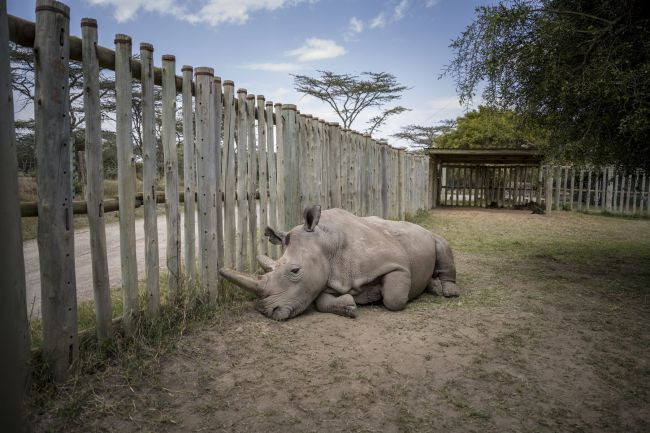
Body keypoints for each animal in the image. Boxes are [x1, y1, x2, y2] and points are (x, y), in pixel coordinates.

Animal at [220, 206, 458, 320]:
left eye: (295, 270)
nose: (266, 311)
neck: (327, 243)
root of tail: (418, 225)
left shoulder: (396, 263)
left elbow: (394, 299)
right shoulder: (330, 276)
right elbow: (320, 301)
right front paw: (349, 306)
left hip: (427, 234)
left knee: (441, 243)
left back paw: (447, 292)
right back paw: (433, 287)